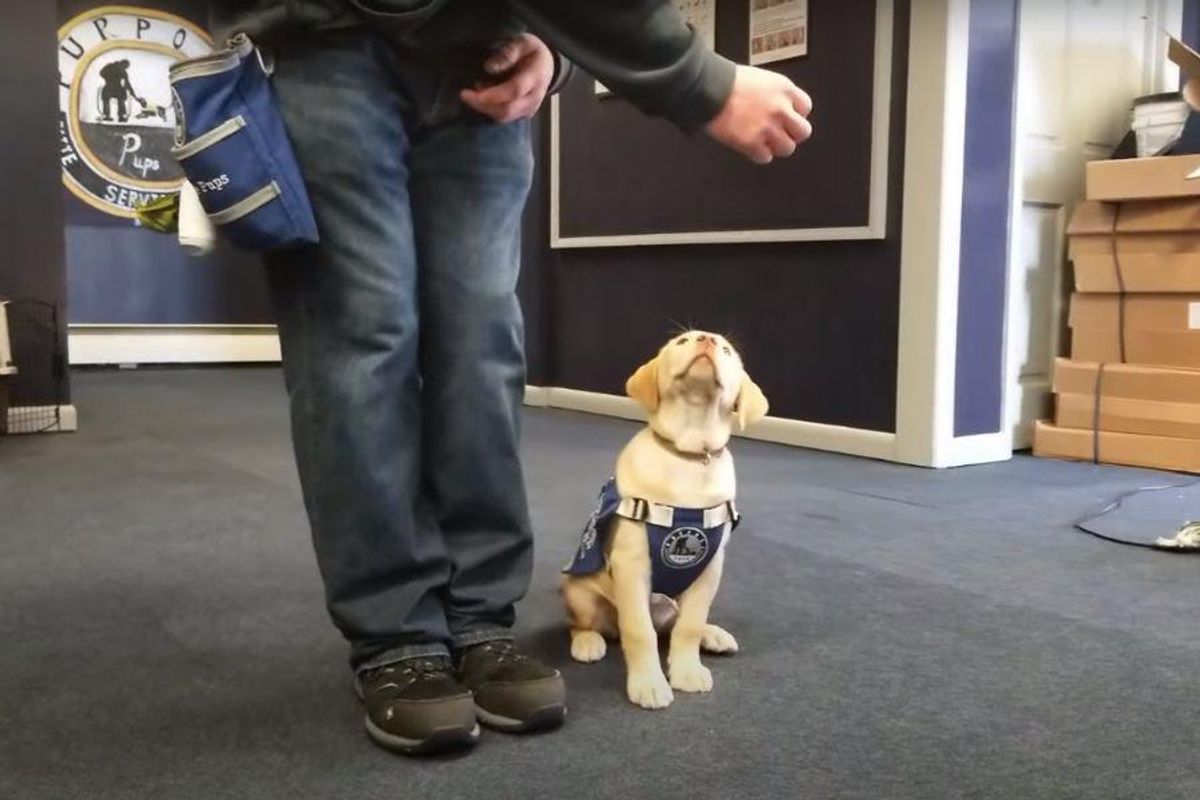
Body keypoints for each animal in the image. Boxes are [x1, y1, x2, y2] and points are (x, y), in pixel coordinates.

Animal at [561, 328, 768, 710]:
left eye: (727, 351)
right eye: (682, 342)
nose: (707, 340)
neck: (689, 456)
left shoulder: (710, 568)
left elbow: (689, 626)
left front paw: (687, 671)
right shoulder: (632, 566)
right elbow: (638, 630)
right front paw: (649, 683)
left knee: (674, 627)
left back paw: (712, 634)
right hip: (579, 592)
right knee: (586, 623)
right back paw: (588, 642)